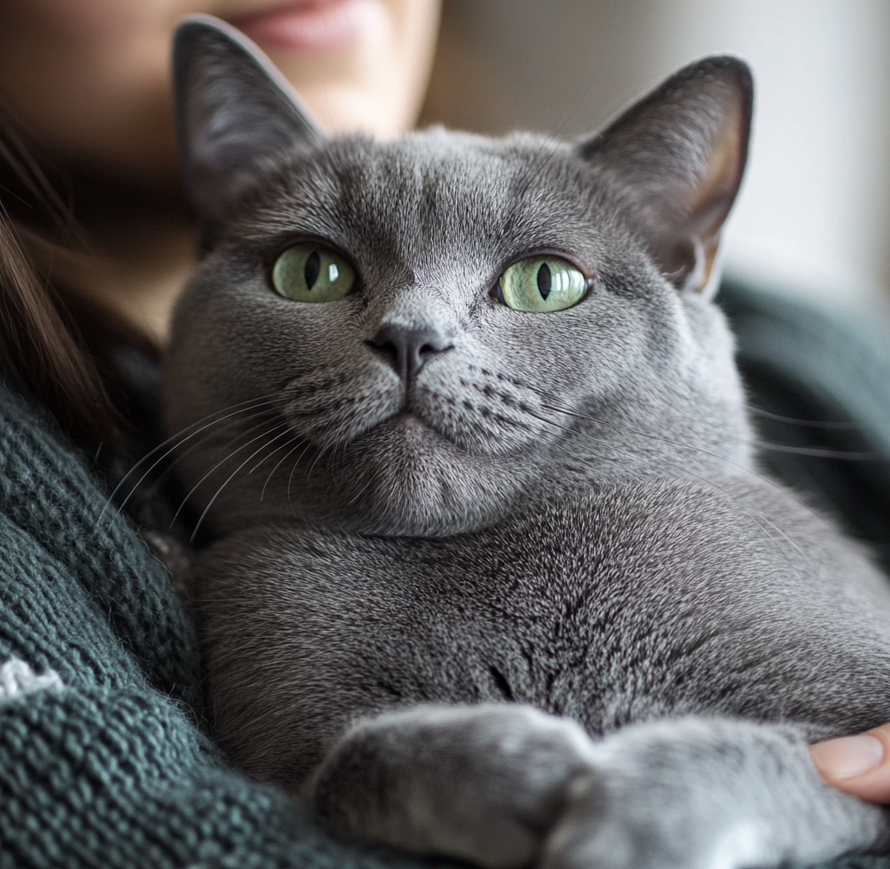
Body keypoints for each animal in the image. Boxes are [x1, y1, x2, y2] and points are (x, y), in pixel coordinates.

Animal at [163, 15, 888, 868]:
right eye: (310, 271)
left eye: (546, 282)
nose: (411, 337)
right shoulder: (282, 726)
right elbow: (352, 758)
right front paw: (522, 764)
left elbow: (756, 749)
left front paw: (625, 827)